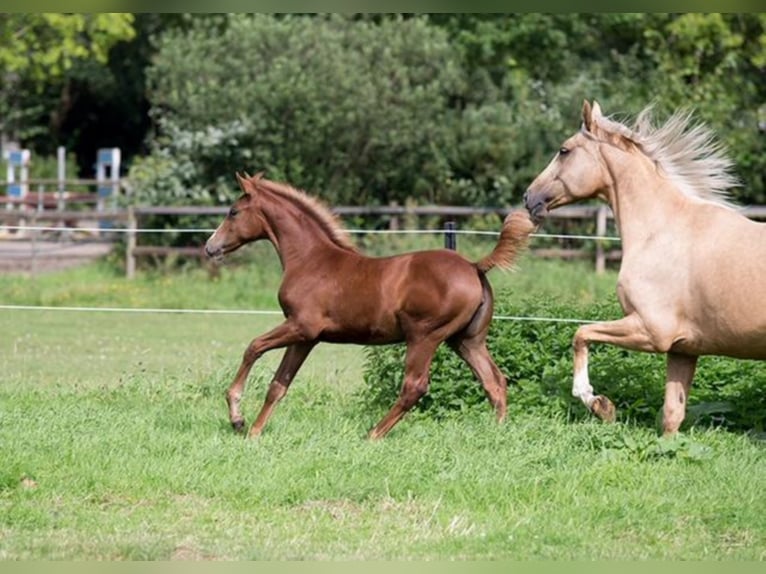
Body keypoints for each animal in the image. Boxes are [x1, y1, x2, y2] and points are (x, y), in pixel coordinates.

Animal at [207, 173, 536, 438]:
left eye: (233, 211)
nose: (210, 247)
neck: (310, 260)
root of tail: (474, 266)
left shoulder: (301, 326)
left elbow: (253, 347)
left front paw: (237, 418)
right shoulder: (306, 338)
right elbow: (279, 384)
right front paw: (254, 432)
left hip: (424, 336)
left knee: (415, 386)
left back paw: (373, 434)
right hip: (466, 340)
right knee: (494, 382)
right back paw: (497, 433)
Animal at [528, 102, 766, 436]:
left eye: (564, 150)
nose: (529, 198)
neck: (661, 230)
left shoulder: (651, 331)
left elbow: (581, 333)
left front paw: (597, 403)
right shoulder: (683, 349)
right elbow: (672, 415)